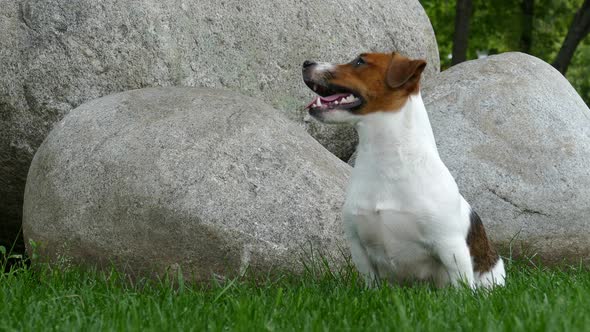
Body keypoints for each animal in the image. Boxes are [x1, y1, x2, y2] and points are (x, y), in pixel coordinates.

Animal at [302, 52, 506, 288]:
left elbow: (461, 286)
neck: (387, 159)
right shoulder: (359, 246)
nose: (306, 63)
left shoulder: (451, 246)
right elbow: (371, 284)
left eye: (360, 61)